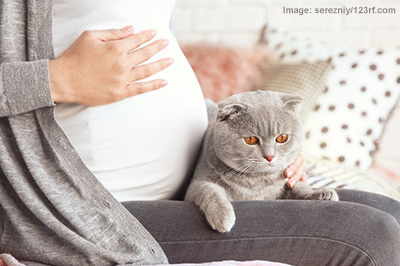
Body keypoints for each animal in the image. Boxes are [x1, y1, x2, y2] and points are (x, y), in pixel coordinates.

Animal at [184, 91, 338, 233]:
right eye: (250, 140)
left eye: (282, 137)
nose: (269, 156)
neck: (257, 182)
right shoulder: (195, 186)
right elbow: (209, 190)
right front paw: (222, 216)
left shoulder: (285, 181)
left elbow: (299, 187)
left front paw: (320, 193)